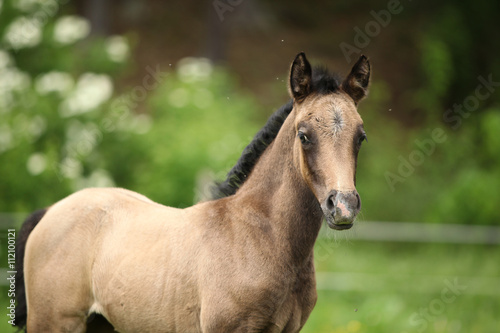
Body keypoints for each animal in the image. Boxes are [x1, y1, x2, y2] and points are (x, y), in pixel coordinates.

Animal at [15, 51, 370, 330]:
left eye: (361, 136)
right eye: (304, 135)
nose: (342, 206)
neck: (261, 237)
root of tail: (52, 211)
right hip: (54, 322)